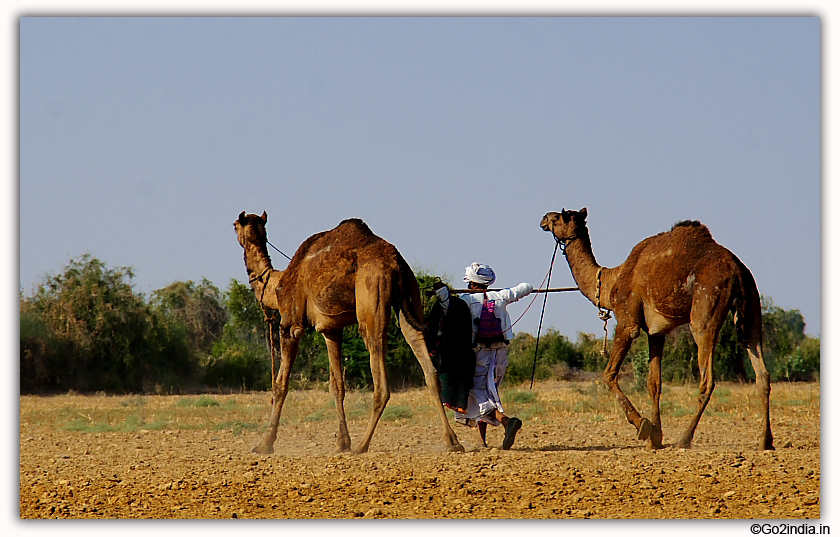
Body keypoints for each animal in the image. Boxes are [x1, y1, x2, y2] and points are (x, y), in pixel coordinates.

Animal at [233, 211, 462, 454]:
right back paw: (452, 441)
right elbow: (337, 385)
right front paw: (342, 442)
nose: (234, 227)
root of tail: (395, 264)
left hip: (372, 294)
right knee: (426, 363)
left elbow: (280, 384)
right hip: (410, 294)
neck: (276, 285)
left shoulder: (291, 324)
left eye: (235, 225)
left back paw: (362, 445)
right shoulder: (331, 329)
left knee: (380, 379)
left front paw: (264, 444)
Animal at [540, 207, 772, 450]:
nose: (543, 219)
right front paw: (656, 438)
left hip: (706, 303)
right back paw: (765, 441)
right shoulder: (656, 331)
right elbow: (654, 383)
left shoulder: (627, 321)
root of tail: (737, 271)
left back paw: (684, 439)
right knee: (762, 373)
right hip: (752, 302)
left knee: (707, 377)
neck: (611, 280)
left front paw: (643, 426)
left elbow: (608, 375)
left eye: (557, 218)